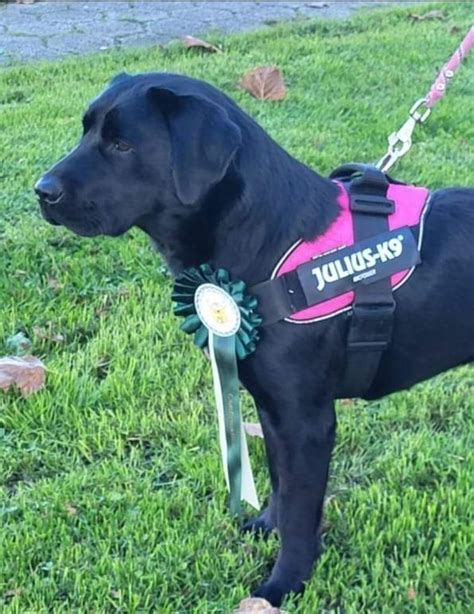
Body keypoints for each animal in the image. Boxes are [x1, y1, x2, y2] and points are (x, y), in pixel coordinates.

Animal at [34, 72, 474, 608]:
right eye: (86, 132)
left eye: (122, 145)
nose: (41, 191)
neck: (266, 240)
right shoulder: (269, 405)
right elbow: (281, 486)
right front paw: (266, 526)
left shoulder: (307, 419)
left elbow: (302, 512)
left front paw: (282, 587)